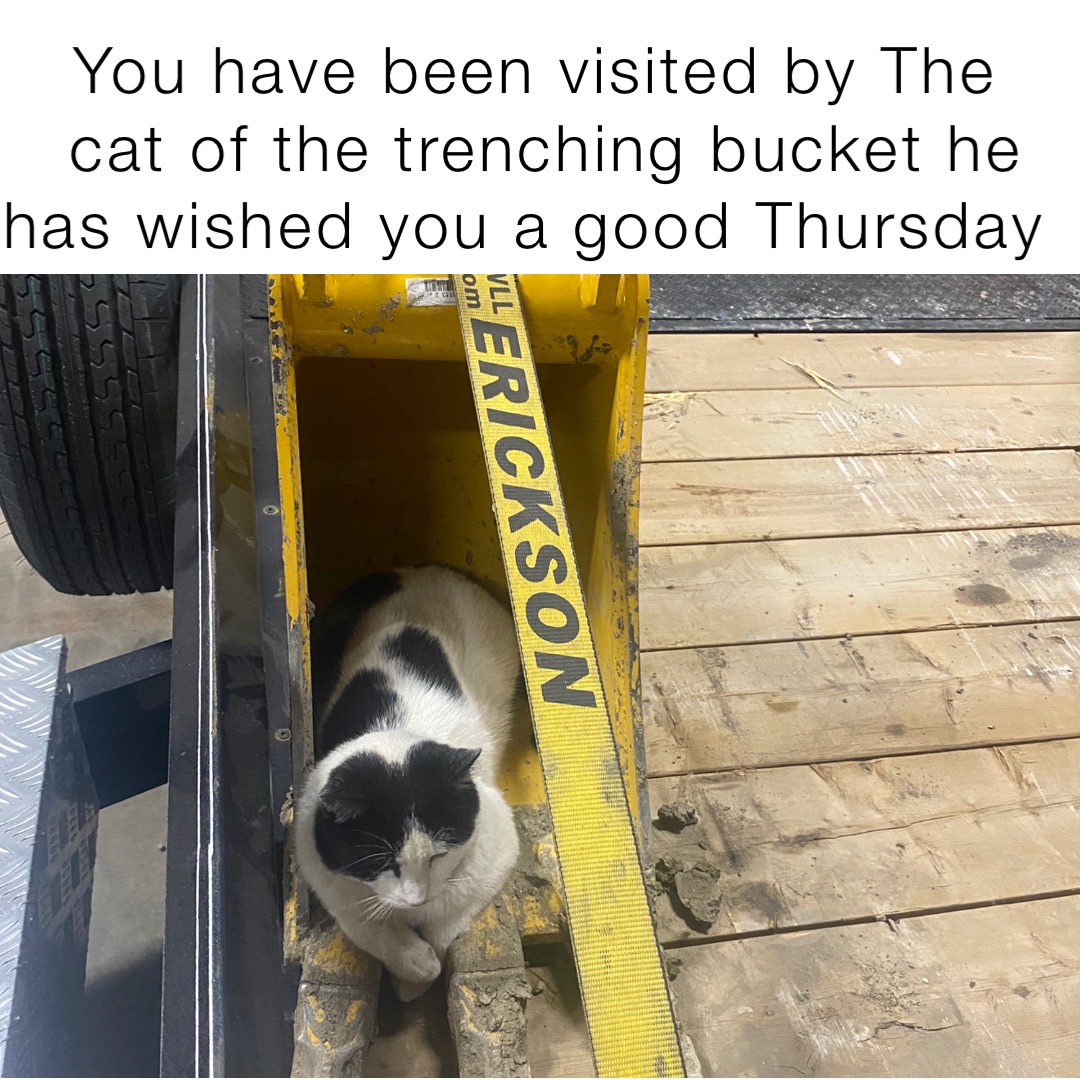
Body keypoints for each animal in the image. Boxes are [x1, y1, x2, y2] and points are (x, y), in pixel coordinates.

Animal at [291, 570, 518, 997]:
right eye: (382, 862)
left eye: (438, 856)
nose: (416, 900)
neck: (393, 728)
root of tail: (419, 571)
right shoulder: (322, 870)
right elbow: (367, 924)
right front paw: (413, 966)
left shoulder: (497, 846)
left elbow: (448, 920)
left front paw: (419, 978)